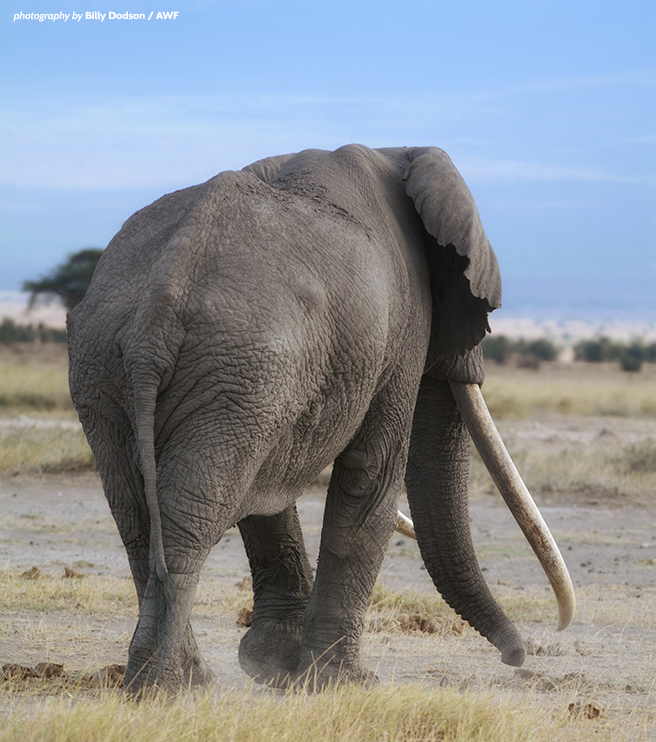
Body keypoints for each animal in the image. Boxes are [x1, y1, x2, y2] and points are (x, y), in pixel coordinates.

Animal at [66, 144, 576, 692]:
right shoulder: (401, 326)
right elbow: (371, 476)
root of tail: (161, 301)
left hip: (119, 366)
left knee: (140, 517)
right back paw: (164, 689)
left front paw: (273, 667)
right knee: (188, 517)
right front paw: (342, 682)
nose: (517, 655)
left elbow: (269, 491)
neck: (399, 153)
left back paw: (179, 679)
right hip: (237, 365)